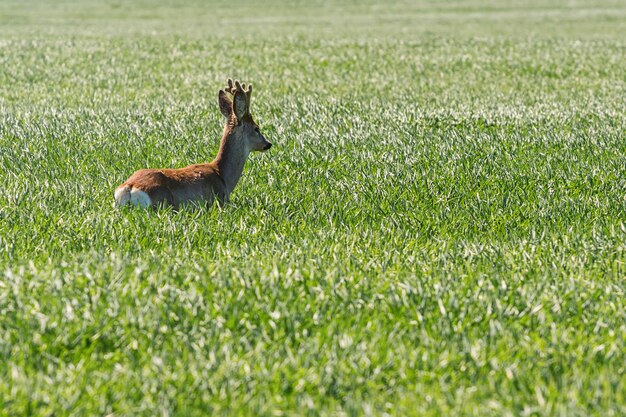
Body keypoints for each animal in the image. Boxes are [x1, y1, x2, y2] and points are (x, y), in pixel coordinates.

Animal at [114, 78, 270, 208]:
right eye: (257, 128)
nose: (268, 144)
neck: (223, 175)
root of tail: (129, 188)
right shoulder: (220, 200)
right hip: (164, 203)